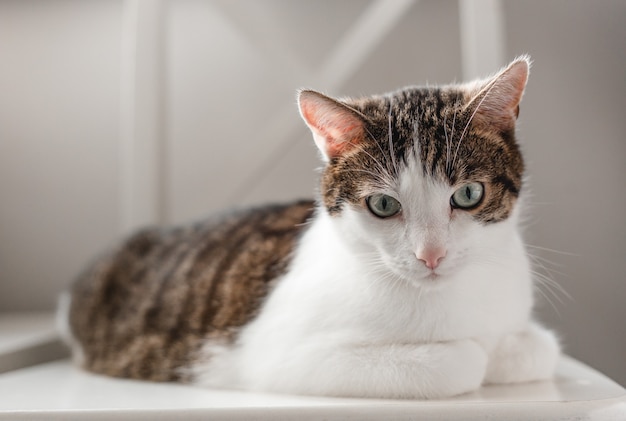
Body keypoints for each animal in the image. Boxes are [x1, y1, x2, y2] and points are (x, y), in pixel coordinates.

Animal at [57, 55, 556, 398]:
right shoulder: (276, 355)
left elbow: (537, 348)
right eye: (383, 204)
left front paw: (508, 348)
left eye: (468, 195)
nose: (431, 256)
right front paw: (477, 354)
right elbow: (459, 361)